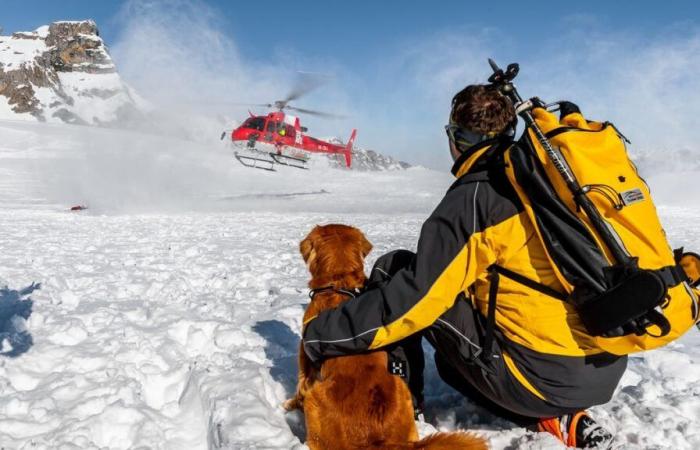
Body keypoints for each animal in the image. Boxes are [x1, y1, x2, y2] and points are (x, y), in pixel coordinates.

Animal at [284, 225, 486, 450]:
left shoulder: (306, 361)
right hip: (401, 386)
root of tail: (378, 440)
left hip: (316, 399)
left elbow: (300, 387)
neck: (339, 283)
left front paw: (291, 404)